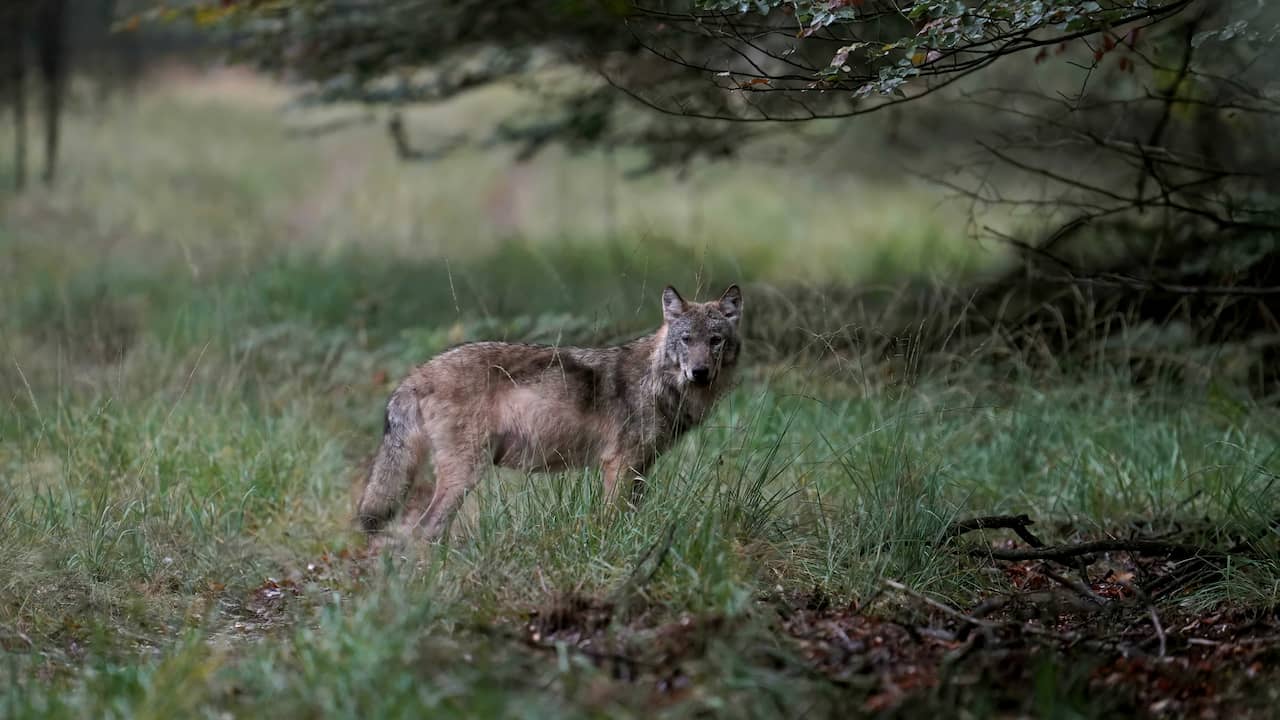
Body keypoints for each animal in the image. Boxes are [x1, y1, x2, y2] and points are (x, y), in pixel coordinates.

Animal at [355, 283, 747, 540]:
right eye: (686, 340)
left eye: (715, 340)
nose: (699, 372)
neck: (658, 382)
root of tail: (417, 373)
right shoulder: (618, 464)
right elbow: (612, 520)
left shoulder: (640, 467)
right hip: (465, 474)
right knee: (424, 530)